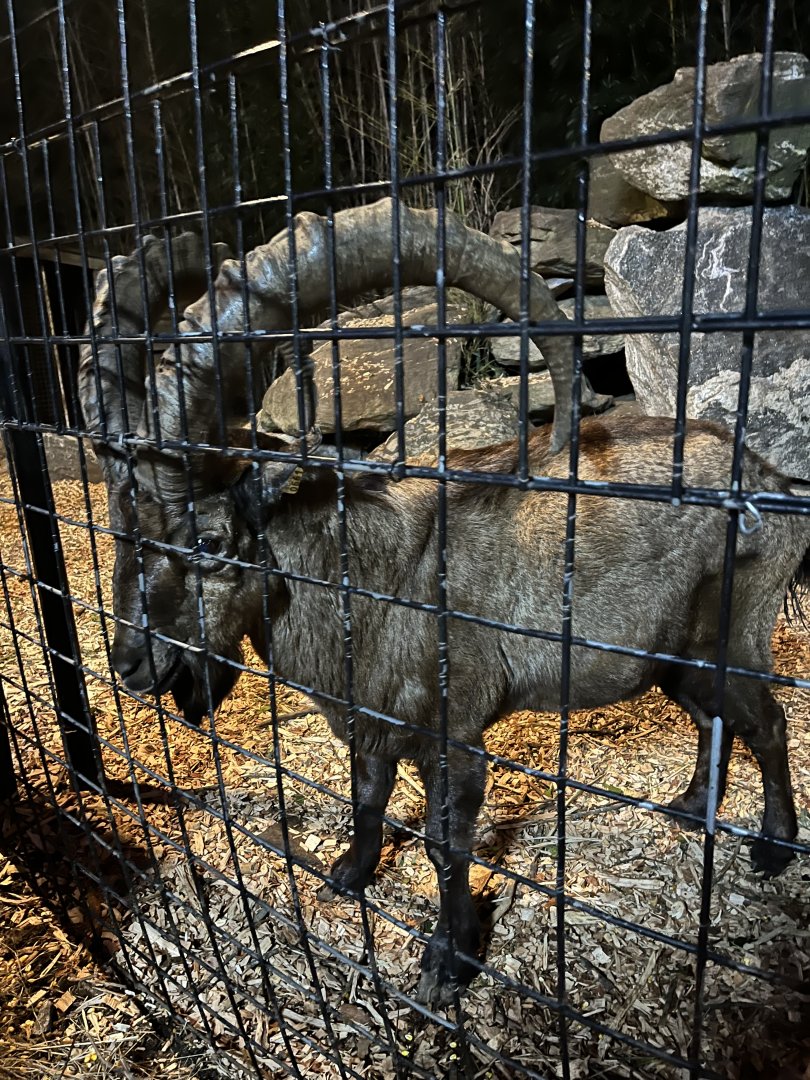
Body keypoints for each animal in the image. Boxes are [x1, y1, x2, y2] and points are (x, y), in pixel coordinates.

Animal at [79, 202, 810, 1006]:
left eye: (209, 541)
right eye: (119, 525)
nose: (132, 665)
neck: (365, 581)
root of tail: (771, 482)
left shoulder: (454, 735)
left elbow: (443, 843)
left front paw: (446, 962)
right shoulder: (368, 724)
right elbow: (367, 797)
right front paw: (348, 875)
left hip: (731, 635)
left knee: (767, 722)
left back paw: (774, 848)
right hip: (671, 658)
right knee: (715, 721)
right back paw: (687, 807)